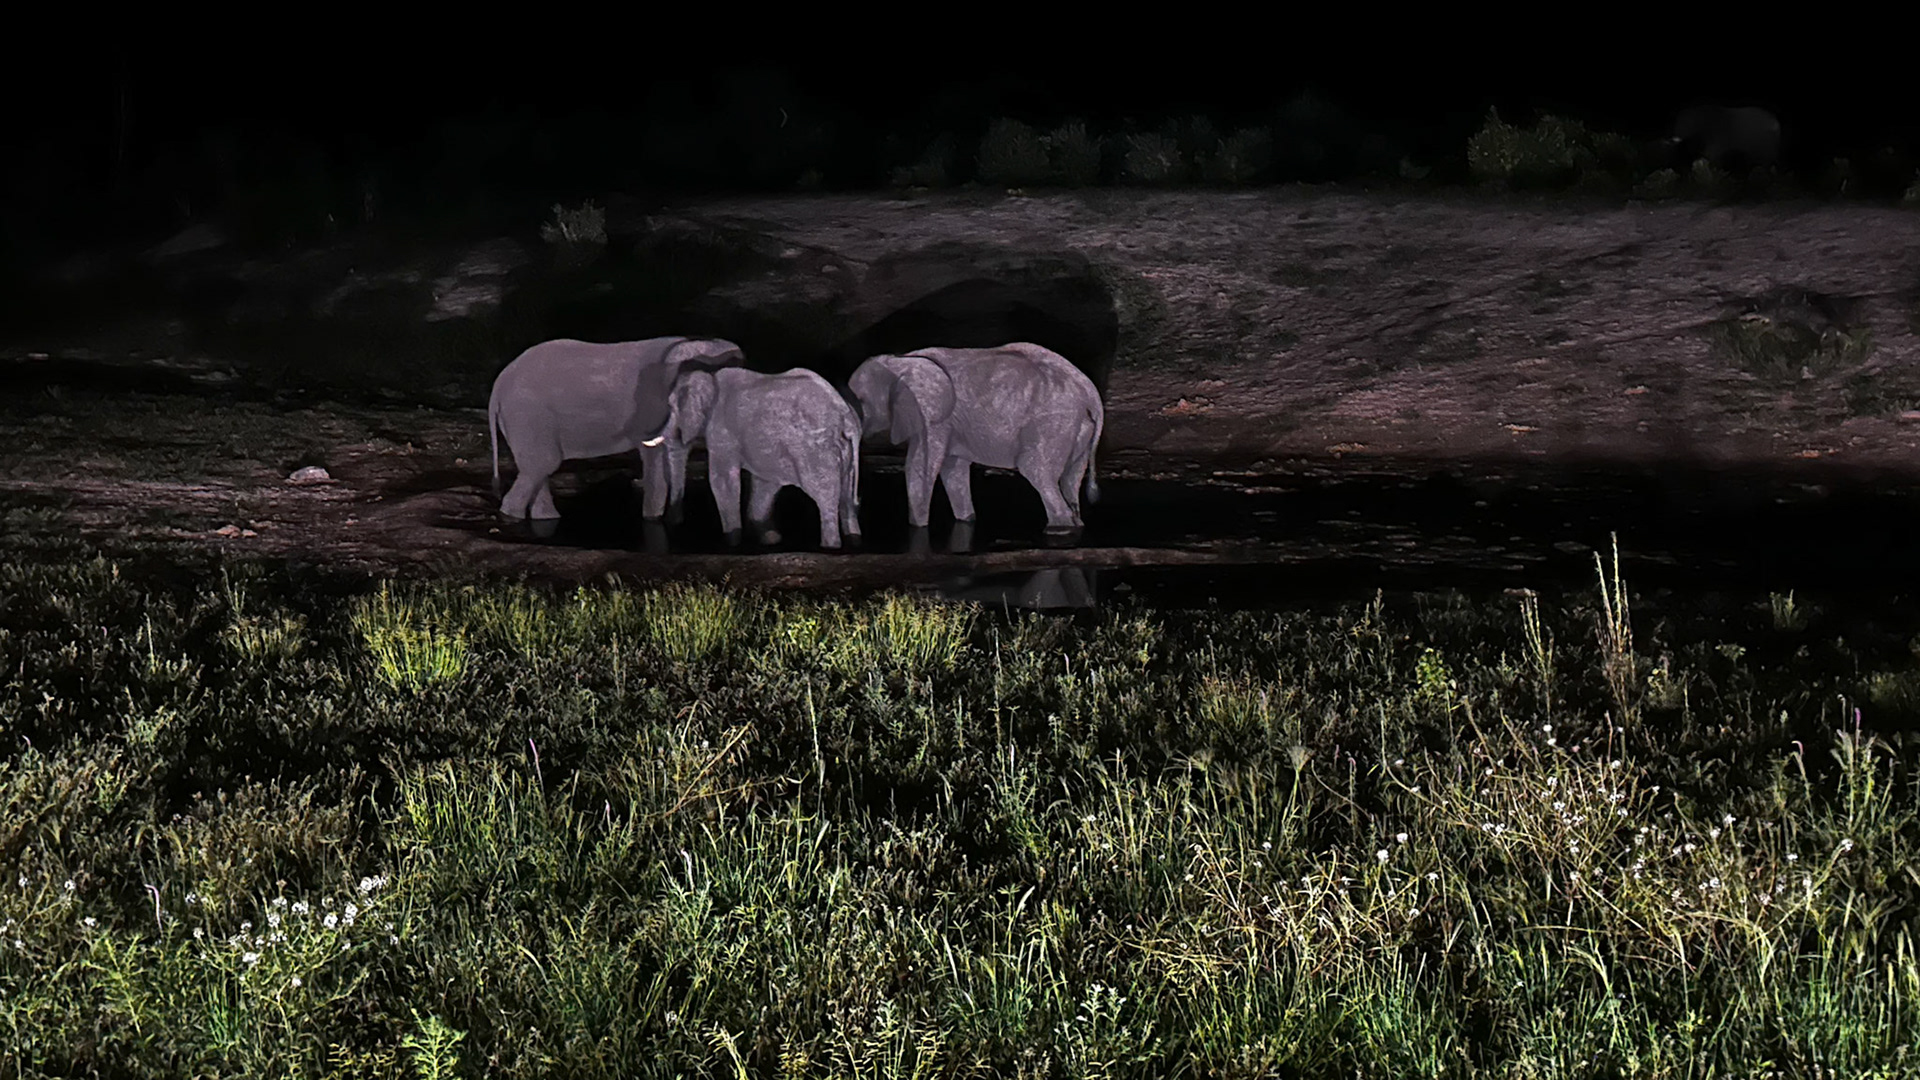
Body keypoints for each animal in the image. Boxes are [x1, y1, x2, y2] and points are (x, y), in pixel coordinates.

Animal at [487, 336, 745, 522]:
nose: (676, 522)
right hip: (526, 415)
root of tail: (498, 385)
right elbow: (652, 459)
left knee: (537, 471)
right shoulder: (650, 408)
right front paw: (652, 519)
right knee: (542, 464)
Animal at [664, 366, 863, 550]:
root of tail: (848, 419)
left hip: (816, 451)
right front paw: (770, 537)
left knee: (824, 495)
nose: (675, 524)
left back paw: (830, 547)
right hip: (845, 452)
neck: (709, 377)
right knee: (846, 499)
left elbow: (723, 480)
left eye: (673, 409)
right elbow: (766, 482)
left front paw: (733, 542)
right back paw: (853, 541)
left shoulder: (722, 431)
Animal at [848, 341, 1102, 533]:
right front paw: (967, 519)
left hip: (1054, 425)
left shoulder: (934, 417)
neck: (900, 360)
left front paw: (918, 528)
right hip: (1077, 431)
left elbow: (920, 468)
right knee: (1070, 483)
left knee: (1035, 471)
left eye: (861, 401)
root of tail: (1092, 395)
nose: (859, 502)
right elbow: (954, 470)